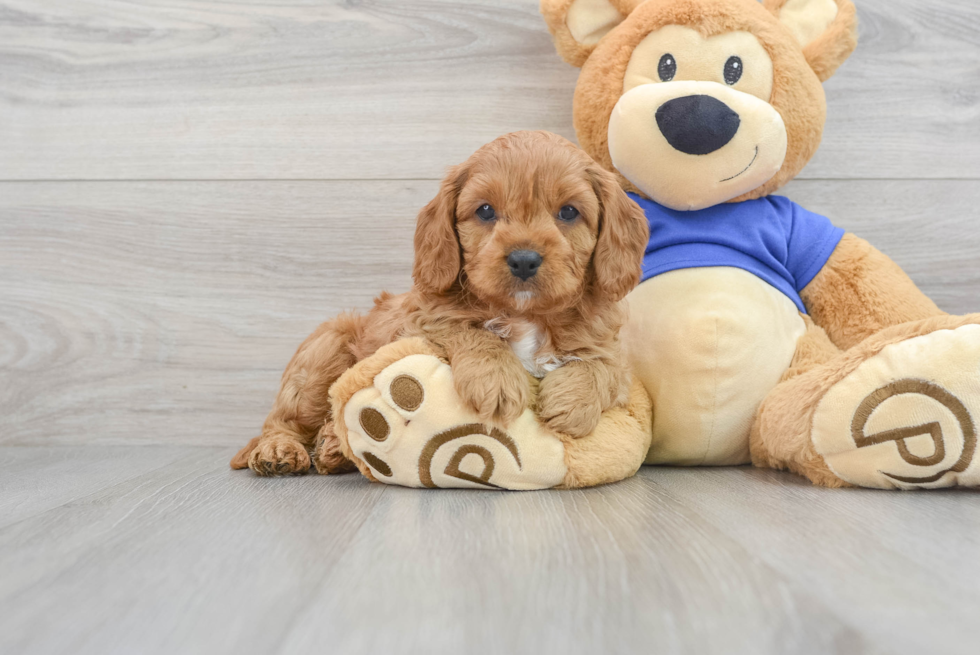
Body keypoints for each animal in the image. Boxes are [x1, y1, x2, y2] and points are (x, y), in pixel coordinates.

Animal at [230, 131, 652, 476]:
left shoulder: (609, 348)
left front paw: (572, 402)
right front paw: (497, 381)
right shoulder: (420, 323)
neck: (525, 314)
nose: (523, 259)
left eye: (568, 211)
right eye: (485, 210)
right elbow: (469, 330)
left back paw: (332, 450)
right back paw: (281, 451)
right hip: (324, 351)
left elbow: (602, 367)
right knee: (284, 421)